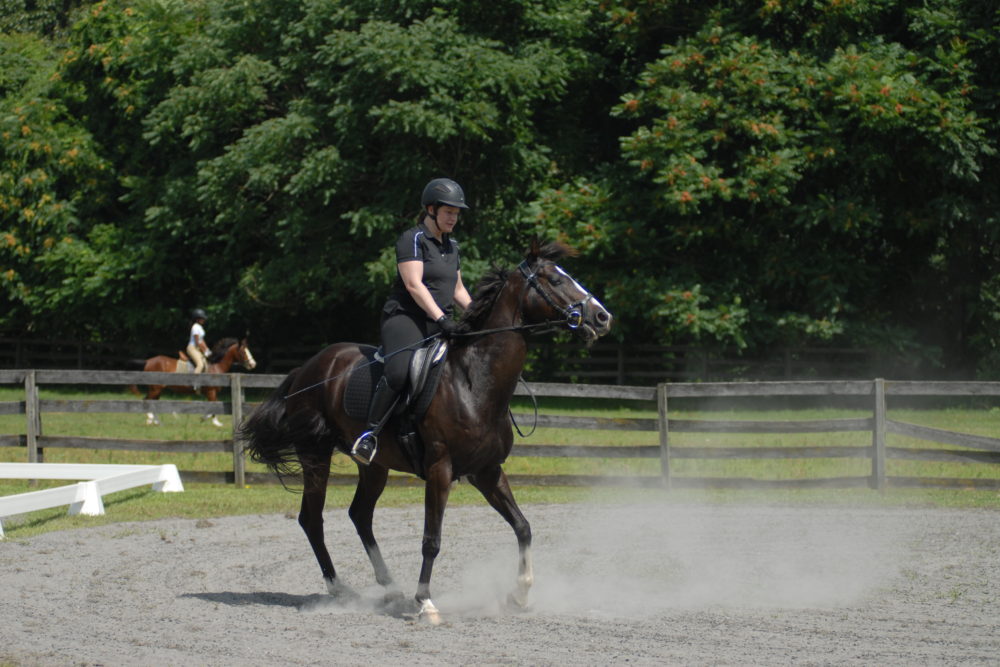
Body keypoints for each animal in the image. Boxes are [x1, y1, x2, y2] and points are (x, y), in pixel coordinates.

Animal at [241, 241, 612, 628]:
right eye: (555, 279)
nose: (602, 318)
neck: (473, 380)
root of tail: (307, 368)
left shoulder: (487, 471)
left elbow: (523, 526)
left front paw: (520, 595)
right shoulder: (440, 470)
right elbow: (431, 539)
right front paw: (426, 603)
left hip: (374, 466)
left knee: (360, 515)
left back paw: (390, 589)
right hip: (315, 454)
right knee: (312, 519)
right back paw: (340, 589)